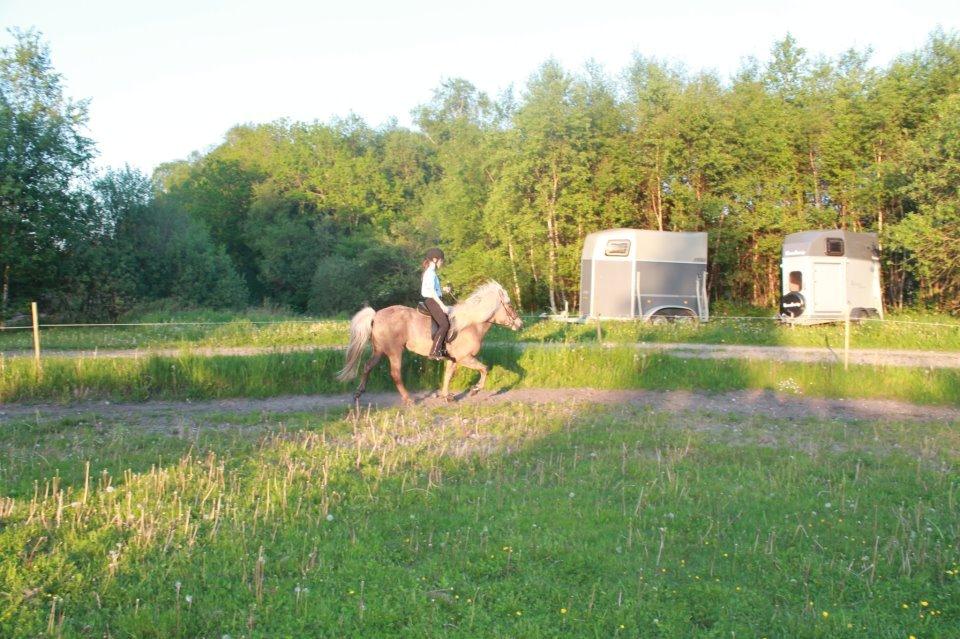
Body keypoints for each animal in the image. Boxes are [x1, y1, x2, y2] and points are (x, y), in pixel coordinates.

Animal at [334, 282, 520, 404]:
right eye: (510, 306)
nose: (520, 323)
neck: (470, 324)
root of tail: (376, 315)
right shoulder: (464, 358)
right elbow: (484, 369)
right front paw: (475, 390)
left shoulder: (453, 359)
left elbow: (448, 376)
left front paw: (446, 396)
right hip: (395, 351)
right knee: (395, 374)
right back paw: (408, 399)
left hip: (379, 350)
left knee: (367, 366)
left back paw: (358, 393)